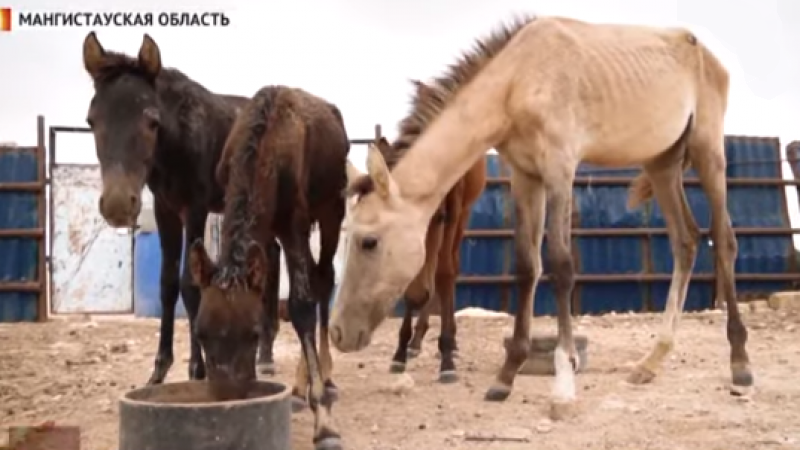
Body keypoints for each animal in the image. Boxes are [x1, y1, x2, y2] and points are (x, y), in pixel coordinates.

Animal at [81, 31, 288, 384]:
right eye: (91, 121)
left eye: (152, 121)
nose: (118, 205)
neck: (177, 139)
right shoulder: (166, 209)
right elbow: (167, 284)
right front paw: (160, 367)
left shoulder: (195, 207)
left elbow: (190, 285)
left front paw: (197, 368)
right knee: (271, 254)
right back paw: (265, 351)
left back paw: (265, 352)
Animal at [191, 85, 350, 450]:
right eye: (200, 333)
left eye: (251, 334)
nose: (226, 400)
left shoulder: (295, 223)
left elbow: (301, 307)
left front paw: (325, 424)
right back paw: (299, 387)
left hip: (332, 209)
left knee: (324, 278)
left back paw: (326, 378)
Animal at [366, 79, 484, 382]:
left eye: (438, 217)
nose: (419, 295)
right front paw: (399, 352)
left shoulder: (452, 213)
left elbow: (444, 274)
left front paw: (447, 358)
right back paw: (416, 342)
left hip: (464, 216)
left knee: (450, 268)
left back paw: (449, 342)